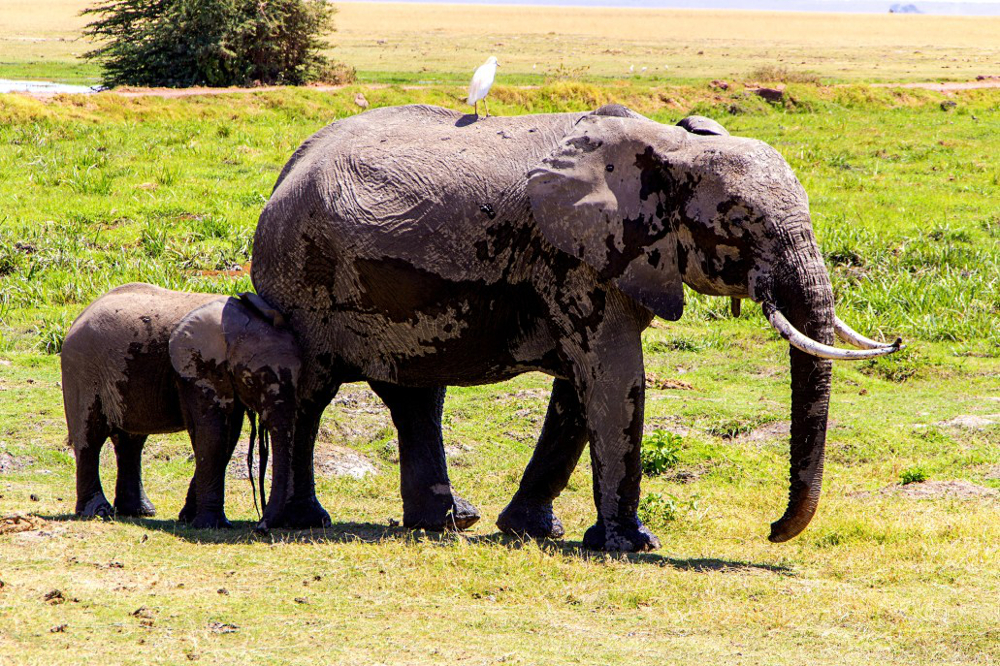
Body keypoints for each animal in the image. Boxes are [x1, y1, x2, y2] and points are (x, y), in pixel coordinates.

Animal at [59, 282, 296, 528]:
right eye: (250, 380)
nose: (262, 526)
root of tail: (80, 315)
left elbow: (229, 436)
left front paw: (189, 517)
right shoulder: (196, 371)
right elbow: (213, 435)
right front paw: (211, 524)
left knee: (131, 441)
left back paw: (139, 511)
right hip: (83, 370)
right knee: (90, 437)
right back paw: (98, 512)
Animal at [250, 104, 900, 548]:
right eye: (741, 222)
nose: (770, 529)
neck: (669, 146)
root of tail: (287, 168)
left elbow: (580, 393)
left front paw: (533, 532)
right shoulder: (574, 256)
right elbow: (615, 377)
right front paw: (632, 546)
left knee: (414, 397)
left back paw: (449, 523)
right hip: (301, 278)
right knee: (310, 395)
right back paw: (301, 521)